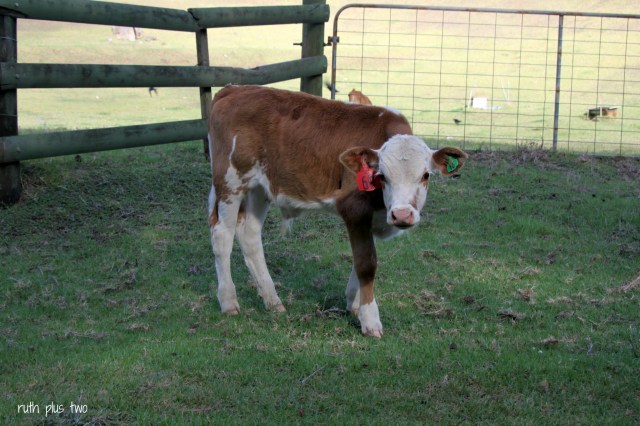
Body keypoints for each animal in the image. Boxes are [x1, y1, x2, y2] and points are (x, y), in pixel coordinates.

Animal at [207, 85, 467, 337]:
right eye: (382, 176)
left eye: (425, 175)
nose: (402, 215)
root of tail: (235, 89)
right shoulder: (354, 208)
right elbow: (366, 263)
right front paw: (370, 320)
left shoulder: (371, 217)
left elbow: (362, 258)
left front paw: (354, 304)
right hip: (230, 182)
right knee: (223, 235)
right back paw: (229, 301)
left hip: (260, 187)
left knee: (249, 233)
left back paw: (272, 300)